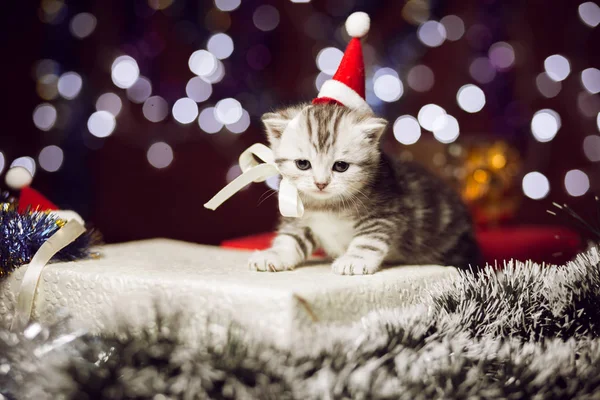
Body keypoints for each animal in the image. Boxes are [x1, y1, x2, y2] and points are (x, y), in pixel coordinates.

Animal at [248, 102, 482, 276]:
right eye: (303, 164)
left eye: (341, 166)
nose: (321, 183)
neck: (328, 205)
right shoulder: (300, 215)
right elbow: (291, 237)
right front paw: (275, 254)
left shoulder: (386, 211)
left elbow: (368, 238)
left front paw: (354, 259)